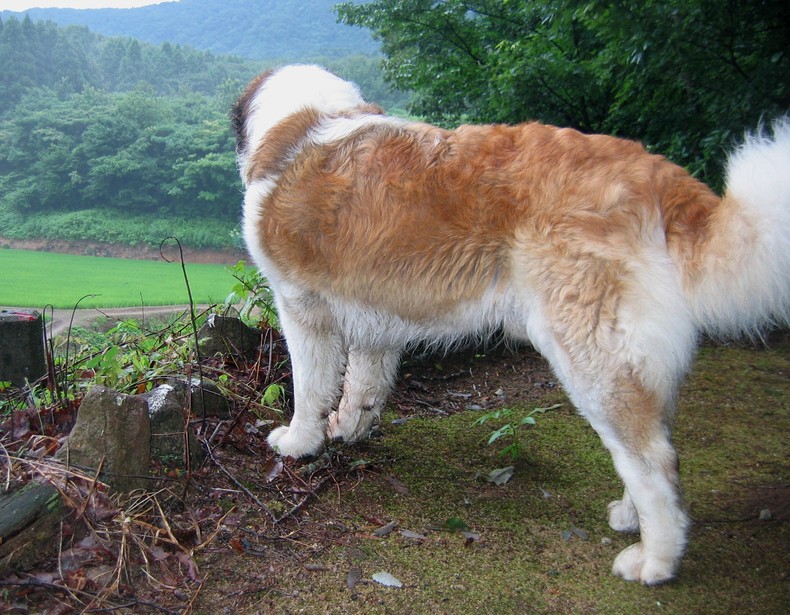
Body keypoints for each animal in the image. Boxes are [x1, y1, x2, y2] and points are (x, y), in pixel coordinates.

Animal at [230, 66, 790, 588]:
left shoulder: (301, 308)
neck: (305, 123)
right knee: (655, 445)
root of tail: (655, 171)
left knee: (653, 460)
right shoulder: (377, 315)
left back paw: (654, 560)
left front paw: (300, 442)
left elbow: (310, 386)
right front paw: (349, 429)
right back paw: (631, 518)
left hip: (592, 358)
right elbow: (363, 385)